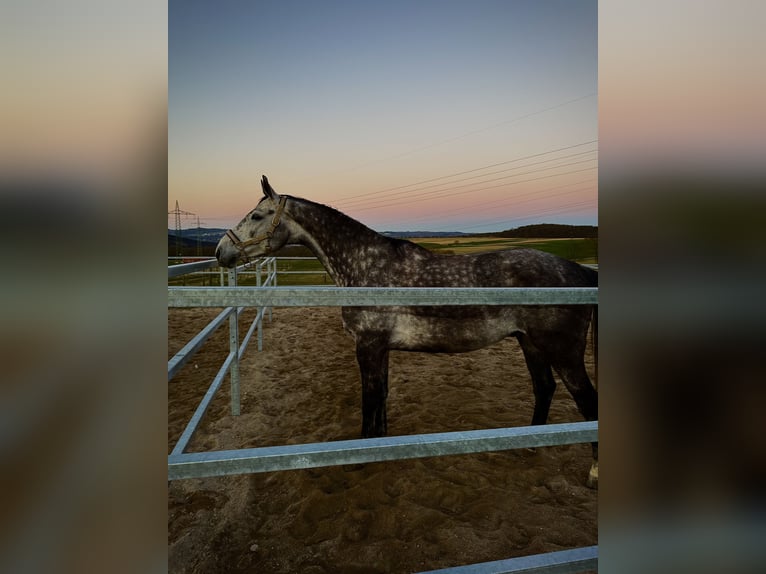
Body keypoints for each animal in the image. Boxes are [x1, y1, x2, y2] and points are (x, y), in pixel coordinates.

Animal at [216, 176, 599, 487]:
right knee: (544, 389)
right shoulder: (380, 348)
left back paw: (593, 473)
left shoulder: (368, 346)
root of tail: (578, 270)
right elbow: (382, 396)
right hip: (531, 344)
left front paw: (361, 455)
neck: (366, 265)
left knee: (587, 400)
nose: (221, 251)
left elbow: (369, 399)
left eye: (257, 215)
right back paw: (530, 446)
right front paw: (381, 444)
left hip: (563, 352)